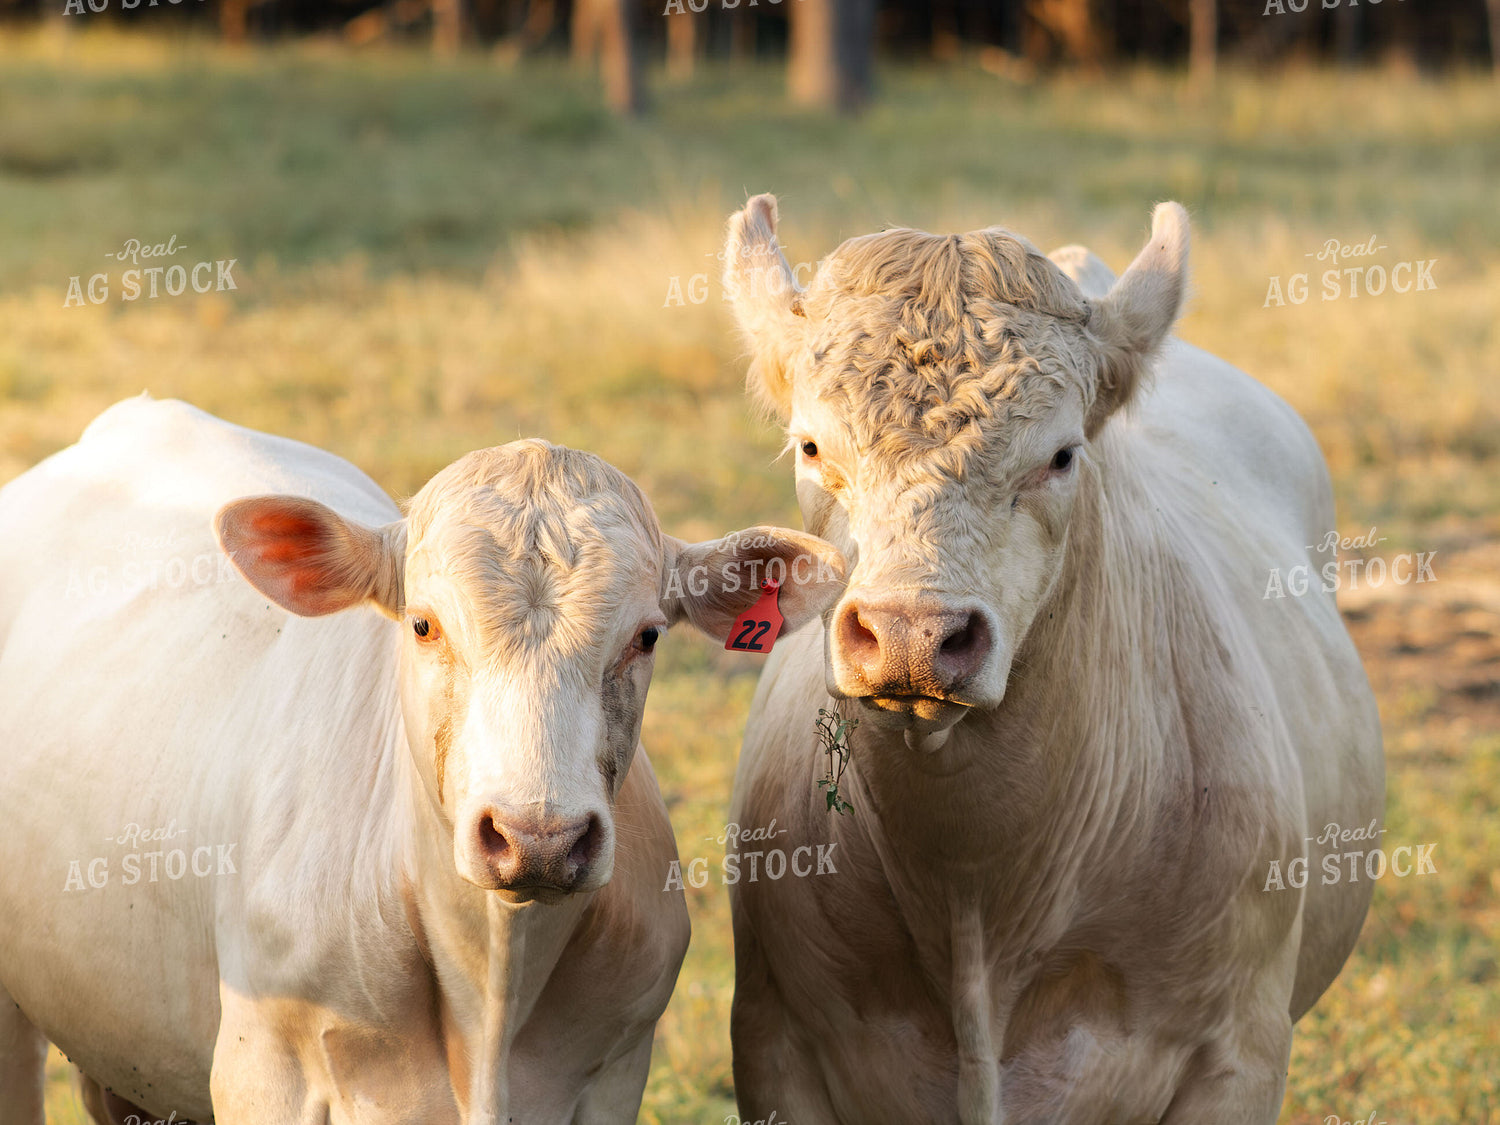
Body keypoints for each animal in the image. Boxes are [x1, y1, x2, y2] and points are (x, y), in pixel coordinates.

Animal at [0, 395, 845, 1125]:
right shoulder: (265, 1071)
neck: (490, 997)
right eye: (423, 623)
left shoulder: (615, 1073)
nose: (538, 837)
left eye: (647, 635)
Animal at [719, 196, 1385, 1124]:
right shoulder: (775, 1043)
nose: (912, 632)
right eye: (812, 448)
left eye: (1062, 455)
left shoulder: (1240, 1054)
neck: (974, 889)